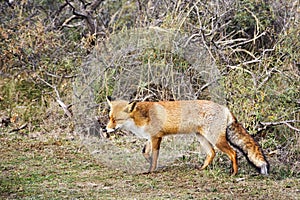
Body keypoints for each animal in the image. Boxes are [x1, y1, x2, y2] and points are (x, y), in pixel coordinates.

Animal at [103, 95, 270, 175]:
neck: (140, 117)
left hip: (215, 139)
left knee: (233, 153)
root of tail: (225, 108)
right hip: (202, 137)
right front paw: (149, 163)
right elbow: (145, 152)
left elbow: (154, 156)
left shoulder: (156, 137)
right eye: (109, 118)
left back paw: (234, 173)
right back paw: (202, 169)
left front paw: (151, 170)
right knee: (212, 153)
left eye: (116, 120)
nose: (105, 130)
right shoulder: (150, 138)